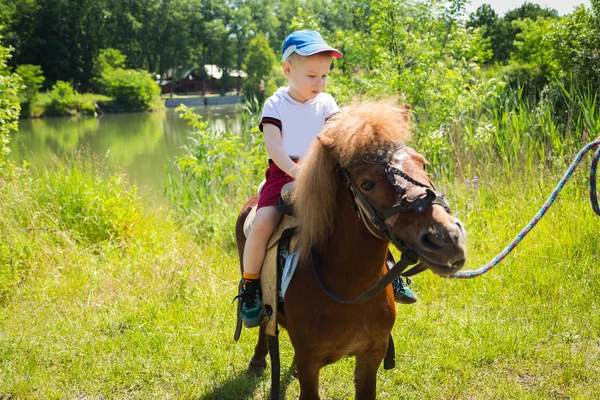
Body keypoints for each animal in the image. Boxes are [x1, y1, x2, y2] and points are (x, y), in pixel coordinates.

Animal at [237, 101, 466, 398]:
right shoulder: (310, 364)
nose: (447, 239)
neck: (348, 290)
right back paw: (256, 357)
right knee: (265, 322)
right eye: (367, 183)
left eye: (422, 163)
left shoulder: (371, 356)